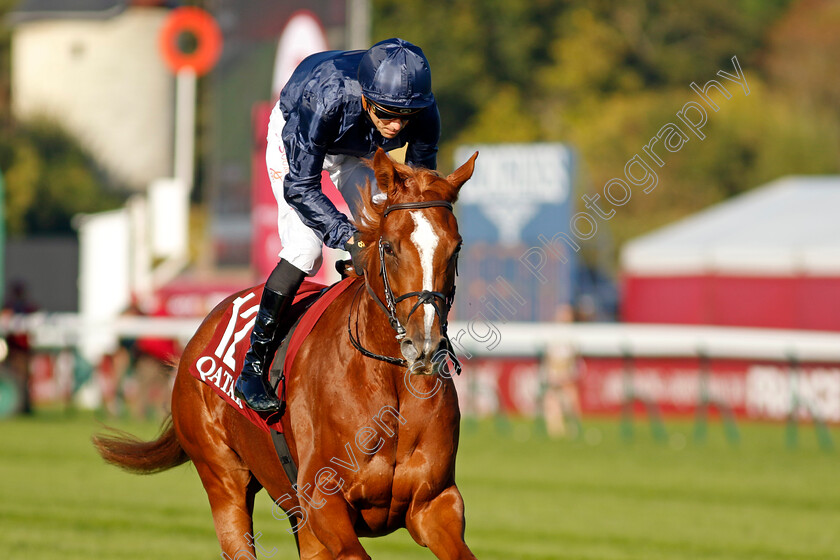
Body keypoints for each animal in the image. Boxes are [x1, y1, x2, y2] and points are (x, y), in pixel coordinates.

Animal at [92, 150, 480, 560]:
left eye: (455, 247)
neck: (387, 382)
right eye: (389, 246)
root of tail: (201, 332)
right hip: (223, 480)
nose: (424, 344)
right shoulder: (323, 501)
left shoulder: (434, 503)